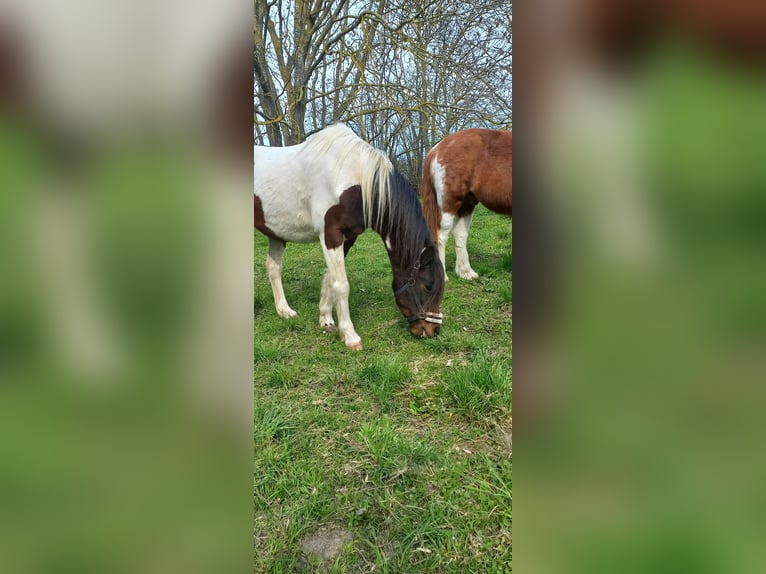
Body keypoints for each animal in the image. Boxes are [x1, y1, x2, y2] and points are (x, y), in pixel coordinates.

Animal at [254, 123, 445, 350]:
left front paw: (326, 320)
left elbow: (330, 278)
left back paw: (284, 311)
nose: (433, 330)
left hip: (275, 234)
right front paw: (350, 336)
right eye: (428, 286)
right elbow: (341, 285)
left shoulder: (347, 238)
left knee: (273, 268)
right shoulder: (330, 236)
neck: (352, 176)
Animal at [421, 128, 512, 280]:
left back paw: (466, 272)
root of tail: (437, 149)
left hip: (467, 203)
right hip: (449, 203)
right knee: (441, 236)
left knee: (460, 234)